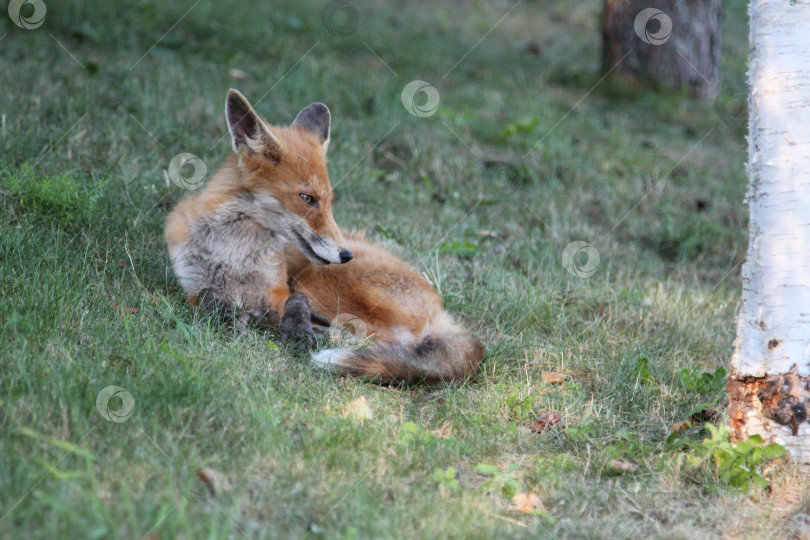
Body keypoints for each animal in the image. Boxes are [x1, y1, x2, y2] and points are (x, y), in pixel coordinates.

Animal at [164, 88, 480, 384]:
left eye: (329, 201)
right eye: (308, 198)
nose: (346, 255)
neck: (237, 256)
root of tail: (440, 308)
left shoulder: (281, 292)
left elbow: (294, 303)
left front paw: (293, 329)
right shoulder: (191, 287)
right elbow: (207, 296)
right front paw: (229, 315)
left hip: (315, 279)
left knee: (375, 340)